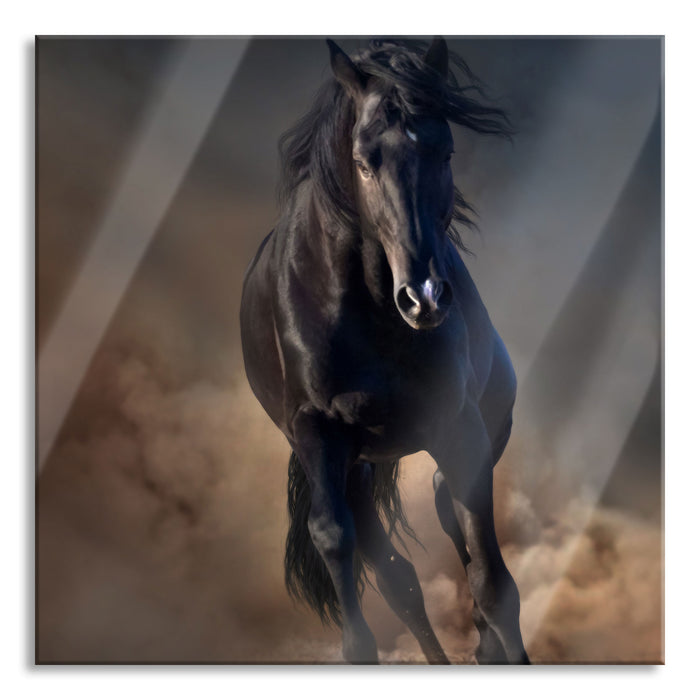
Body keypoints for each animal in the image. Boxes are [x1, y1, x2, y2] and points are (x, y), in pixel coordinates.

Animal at [240, 37, 529, 664]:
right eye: (365, 160)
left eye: (445, 151)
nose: (424, 297)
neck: (367, 310)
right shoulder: (317, 434)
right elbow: (336, 542)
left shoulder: (460, 428)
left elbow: (495, 587)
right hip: (352, 468)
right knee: (398, 579)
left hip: (471, 435)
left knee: (447, 515)